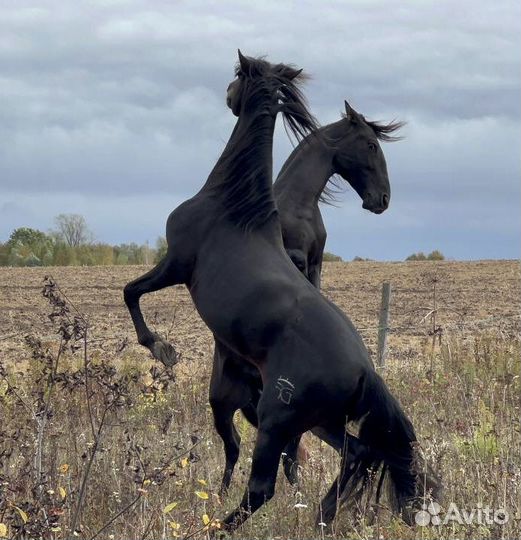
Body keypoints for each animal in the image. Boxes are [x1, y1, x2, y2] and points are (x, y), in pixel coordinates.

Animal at [209, 100, 404, 494]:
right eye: (371, 145)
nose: (382, 200)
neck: (298, 203)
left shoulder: (315, 265)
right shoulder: (292, 256)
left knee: (287, 446)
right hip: (227, 404)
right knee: (236, 449)